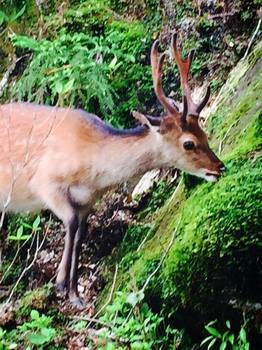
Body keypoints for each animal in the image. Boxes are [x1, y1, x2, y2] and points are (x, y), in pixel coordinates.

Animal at [0, 32, 225, 306]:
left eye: (204, 133)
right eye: (188, 143)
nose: (219, 167)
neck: (92, 170)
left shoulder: (87, 201)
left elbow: (80, 233)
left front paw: (75, 294)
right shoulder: (45, 182)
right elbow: (71, 223)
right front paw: (62, 284)